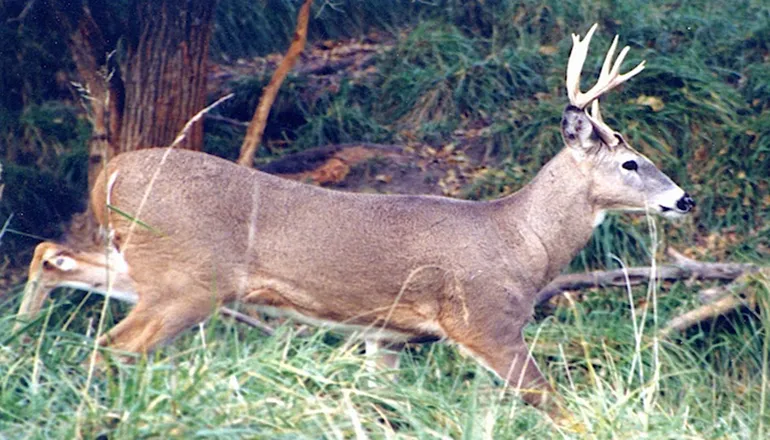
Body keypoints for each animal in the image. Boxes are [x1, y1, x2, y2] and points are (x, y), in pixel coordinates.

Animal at [15, 24, 694, 416]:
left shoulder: (385, 335)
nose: (683, 199)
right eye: (631, 162)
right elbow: (554, 404)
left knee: (51, 253)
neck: (519, 242)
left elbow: (383, 402)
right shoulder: (485, 320)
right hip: (188, 279)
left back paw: (20, 346)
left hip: (147, 264)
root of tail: (109, 174)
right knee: (112, 346)